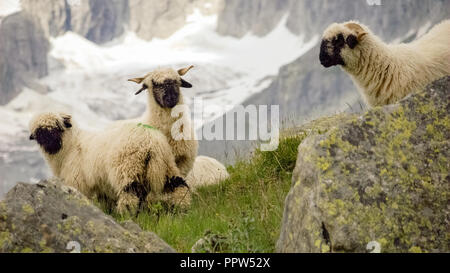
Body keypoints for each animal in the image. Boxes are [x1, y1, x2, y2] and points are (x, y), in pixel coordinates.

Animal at [28, 111, 190, 214]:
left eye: (58, 128)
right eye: (40, 133)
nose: (50, 144)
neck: (70, 146)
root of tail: (151, 141)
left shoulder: (77, 181)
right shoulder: (101, 185)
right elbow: (105, 203)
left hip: (127, 168)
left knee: (130, 195)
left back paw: (126, 214)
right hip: (166, 165)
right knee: (179, 185)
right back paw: (181, 209)